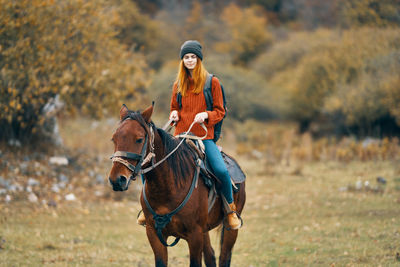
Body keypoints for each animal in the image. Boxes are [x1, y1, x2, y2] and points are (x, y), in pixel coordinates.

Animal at [109, 105, 245, 267]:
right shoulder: (154, 234)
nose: (117, 180)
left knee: (224, 256)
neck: (168, 188)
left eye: (139, 139)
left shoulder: (194, 236)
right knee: (210, 256)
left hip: (230, 229)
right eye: (114, 138)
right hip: (205, 230)